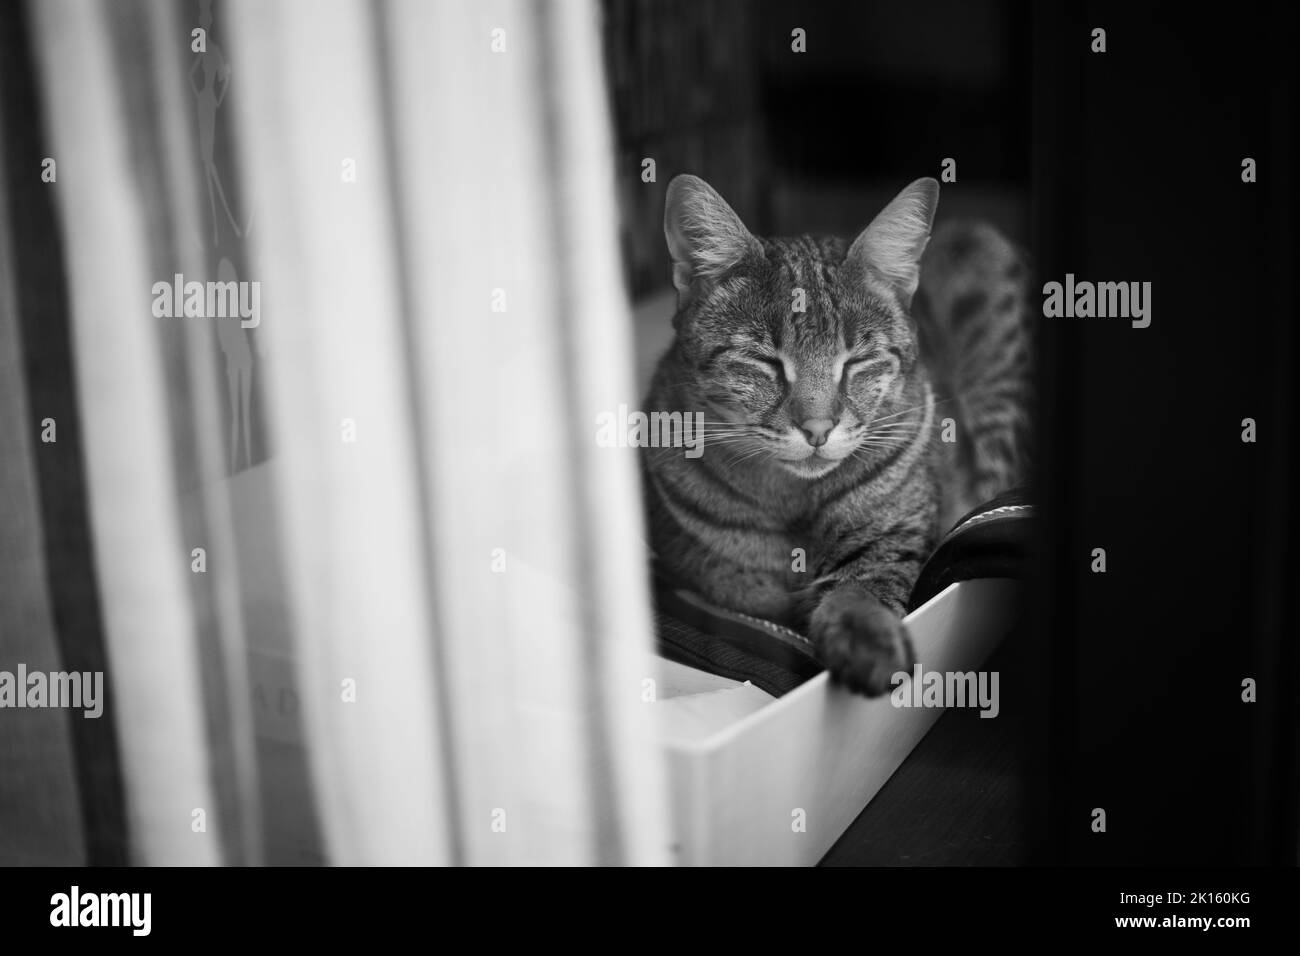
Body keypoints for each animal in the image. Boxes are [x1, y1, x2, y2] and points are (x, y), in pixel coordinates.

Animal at [644, 174, 1029, 697]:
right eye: (764, 361)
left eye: (857, 361)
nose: (818, 428)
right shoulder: (717, 582)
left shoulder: (890, 540)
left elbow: (863, 588)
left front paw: (867, 637)